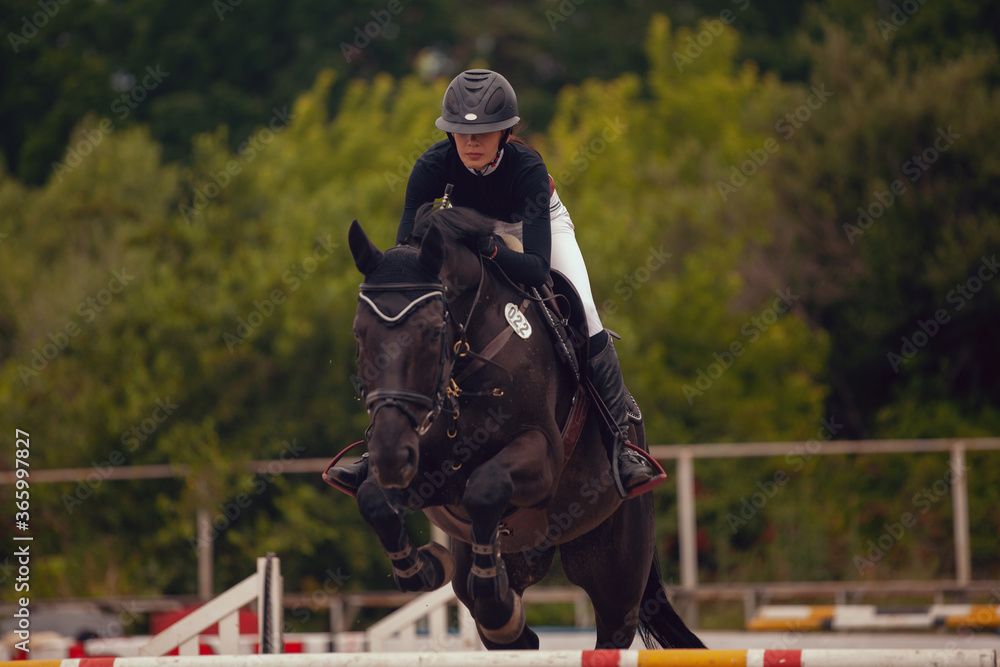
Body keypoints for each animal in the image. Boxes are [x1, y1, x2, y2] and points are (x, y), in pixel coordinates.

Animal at [332, 205, 708, 652]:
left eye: (432, 331)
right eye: (359, 333)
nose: (390, 454)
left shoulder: (540, 457)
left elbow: (486, 486)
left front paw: (492, 599)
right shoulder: (426, 470)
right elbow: (373, 497)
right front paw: (426, 568)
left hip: (615, 572)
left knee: (610, 630)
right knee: (502, 626)